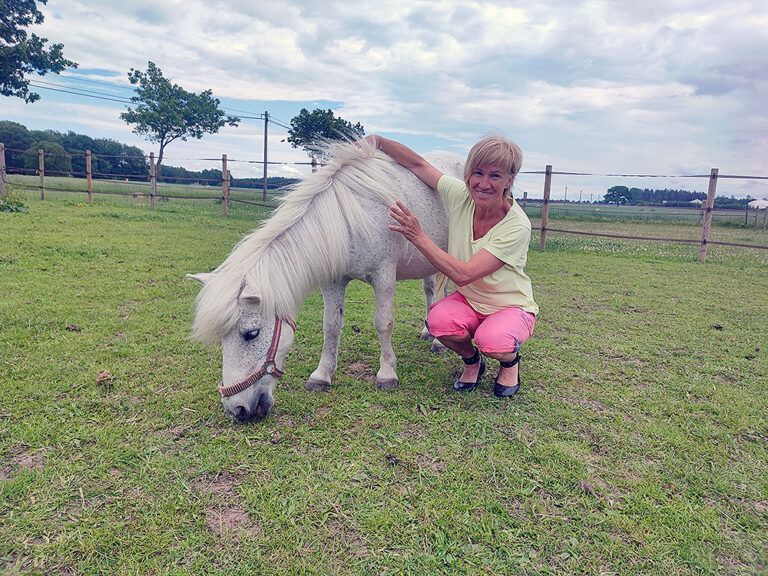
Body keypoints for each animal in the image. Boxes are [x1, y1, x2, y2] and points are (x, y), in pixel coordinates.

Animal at [189, 139, 463, 422]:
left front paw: (387, 374)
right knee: (430, 291)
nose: (237, 409)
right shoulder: (333, 282)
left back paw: (438, 342)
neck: (352, 216)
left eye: (251, 334)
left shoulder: (384, 276)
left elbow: (383, 324)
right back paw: (428, 332)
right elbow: (331, 326)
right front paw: (322, 375)